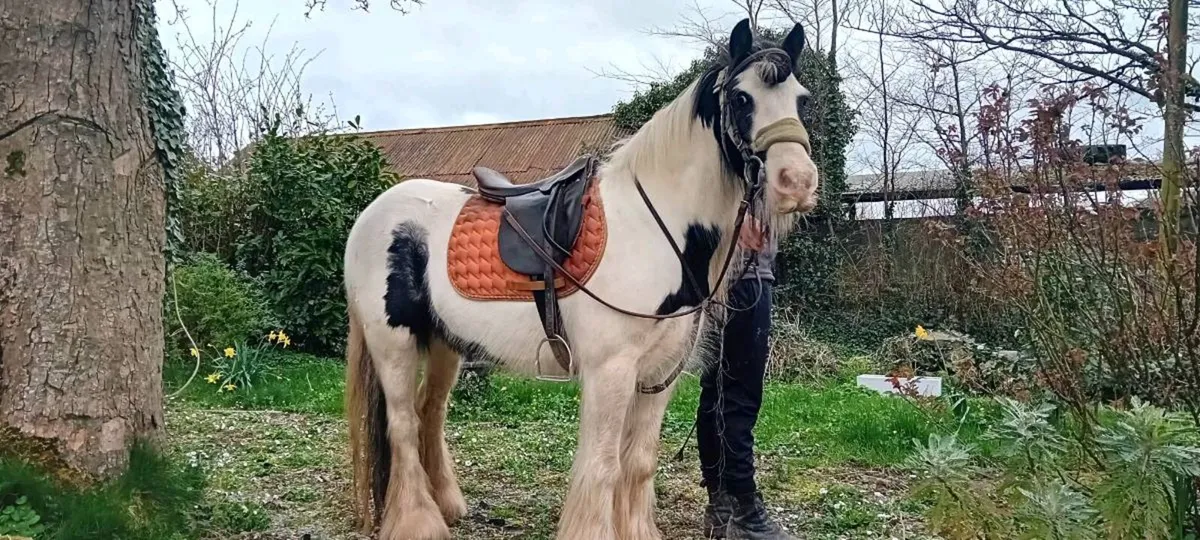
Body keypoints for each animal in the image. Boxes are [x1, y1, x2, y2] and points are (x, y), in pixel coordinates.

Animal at [343, 18, 819, 540]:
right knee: (403, 426)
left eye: (801, 99)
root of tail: (372, 214)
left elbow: (638, 464)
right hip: (394, 344)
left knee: (429, 414)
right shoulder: (611, 370)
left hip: (446, 343)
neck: (653, 226)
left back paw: (447, 505)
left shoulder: (658, 376)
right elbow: (603, 466)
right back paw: (418, 522)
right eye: (741, 98)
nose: (797, 182)